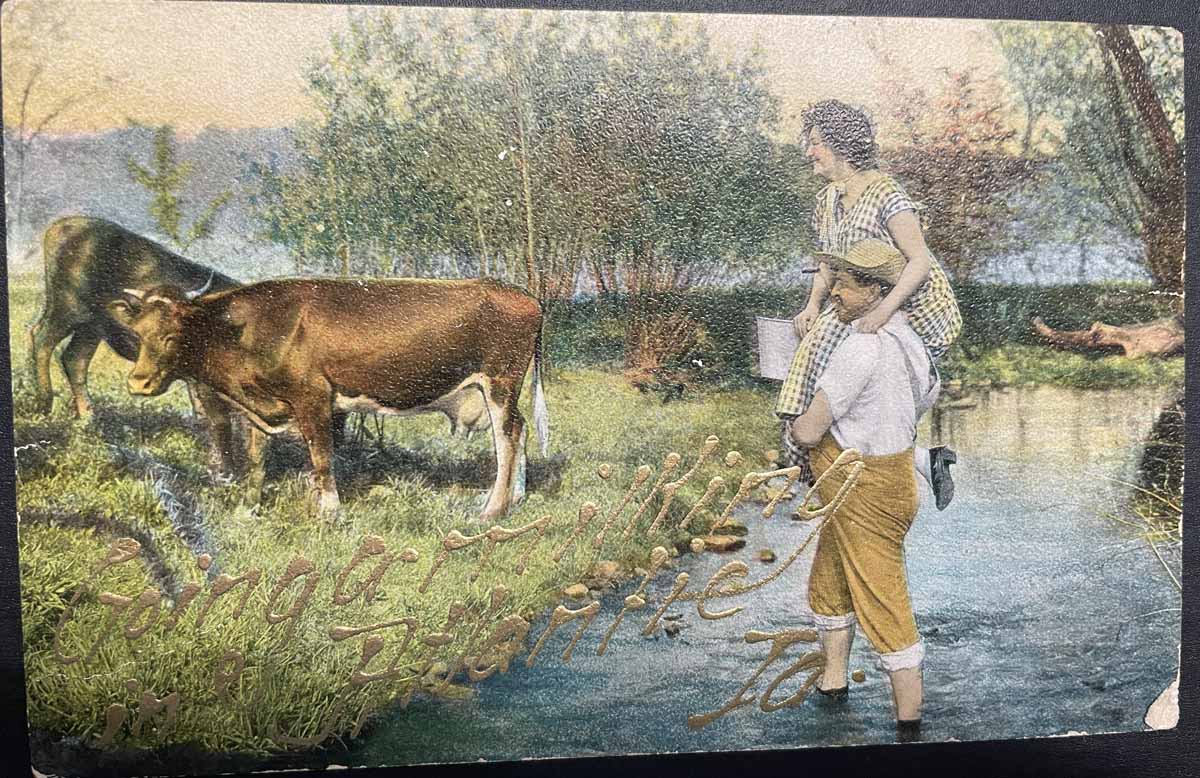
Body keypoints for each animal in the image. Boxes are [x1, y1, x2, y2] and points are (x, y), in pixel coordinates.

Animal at [105, 276, 549, 518]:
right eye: (138, 334)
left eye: (173, 334)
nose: (138, 383)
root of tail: (523, 295)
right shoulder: (259, 408)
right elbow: (256, 459)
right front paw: (250, 507)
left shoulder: (314, 398)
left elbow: (321, 458)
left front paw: (331, 511)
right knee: (522, 429)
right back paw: (518, 497)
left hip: (499, 382)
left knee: (508, 437)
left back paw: (492, 508)